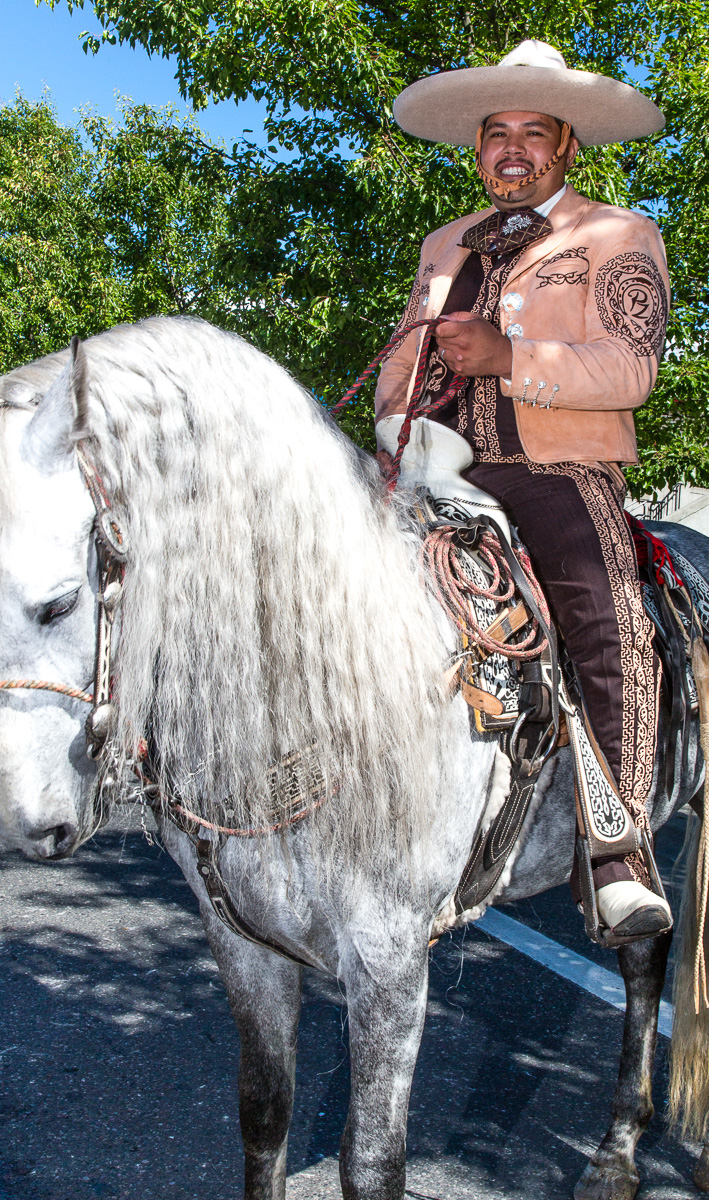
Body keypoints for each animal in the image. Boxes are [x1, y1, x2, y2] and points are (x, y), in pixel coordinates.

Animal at [0, 319, 705, 1200]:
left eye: (58, 604)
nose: (25, 826)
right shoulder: (243, 943)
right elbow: (264, 1112)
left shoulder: (388, 962)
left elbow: (370, 1161)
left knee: (642, 962)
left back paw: (615, 1152)